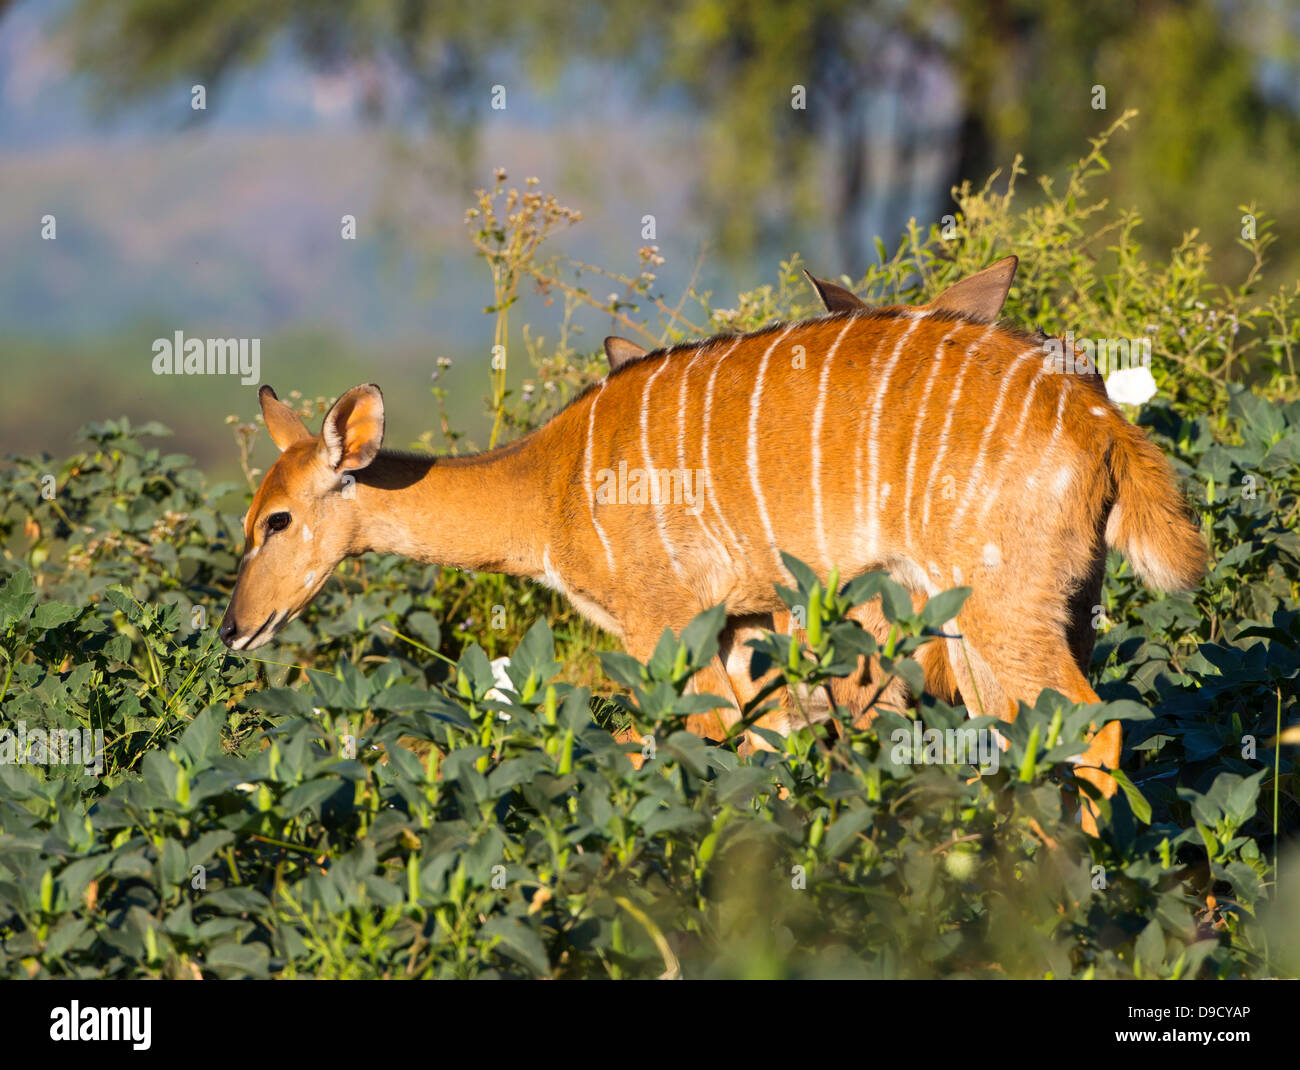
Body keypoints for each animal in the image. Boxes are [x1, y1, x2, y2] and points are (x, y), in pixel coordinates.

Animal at [220, 257, 1206, 837]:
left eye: (277, 521)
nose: (234, 629)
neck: (551, 484)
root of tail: (1105, 425)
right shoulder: (737, 629)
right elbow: (751, 756)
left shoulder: (665, 622)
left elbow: (684, 753)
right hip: (1014, 616)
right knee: (1017, 737)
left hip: (1004, 609)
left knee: (1096, 727)